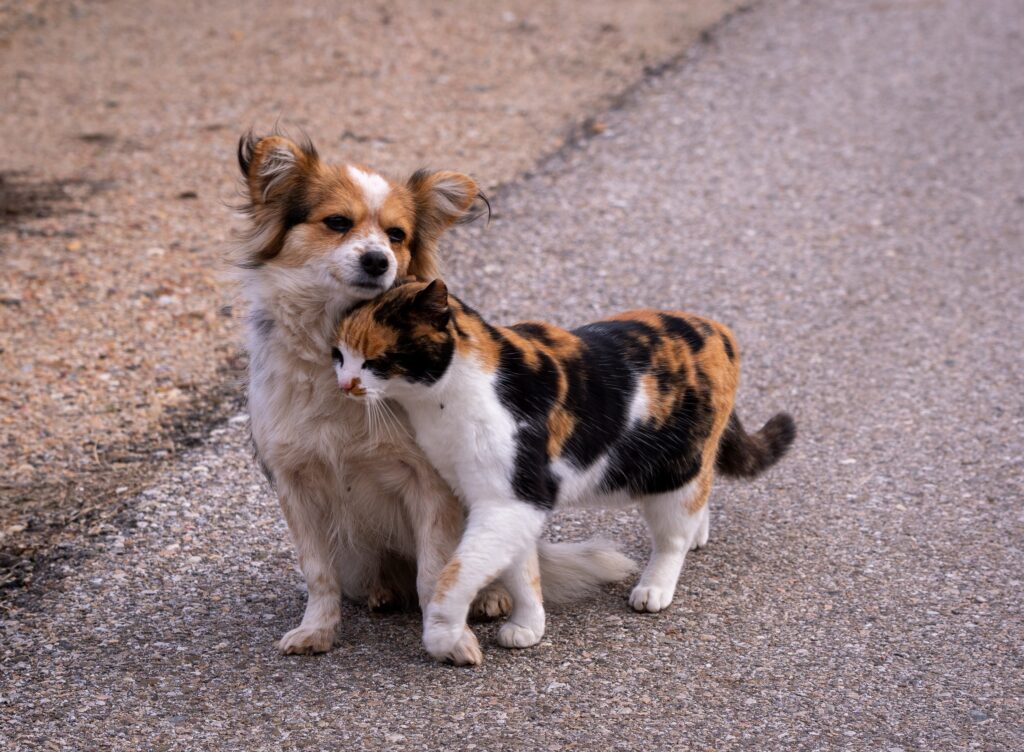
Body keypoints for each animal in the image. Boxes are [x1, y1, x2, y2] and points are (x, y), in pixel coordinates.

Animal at [233, 132, 634, 655]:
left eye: (397, 235)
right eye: (337, 223)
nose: (378, 260)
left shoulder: (429, 481)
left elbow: (435, 571)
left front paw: (448, 636)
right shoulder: (295, 481)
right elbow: (319, 573)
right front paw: (317, 630)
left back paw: (490, 598)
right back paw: (383, 591)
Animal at [331, 278, 794, 663]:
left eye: (374, 360)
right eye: (338, 356)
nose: (345, 384)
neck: (444, 400)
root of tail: (718, 329)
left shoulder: (510, 500)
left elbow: (456, 573)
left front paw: (444, 637)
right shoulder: (506, 504)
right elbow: (521, 572)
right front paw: (528, 626)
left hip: (671, 469)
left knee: (672, 535)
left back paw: (656, 586)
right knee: (703, 487)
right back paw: (699, 531)